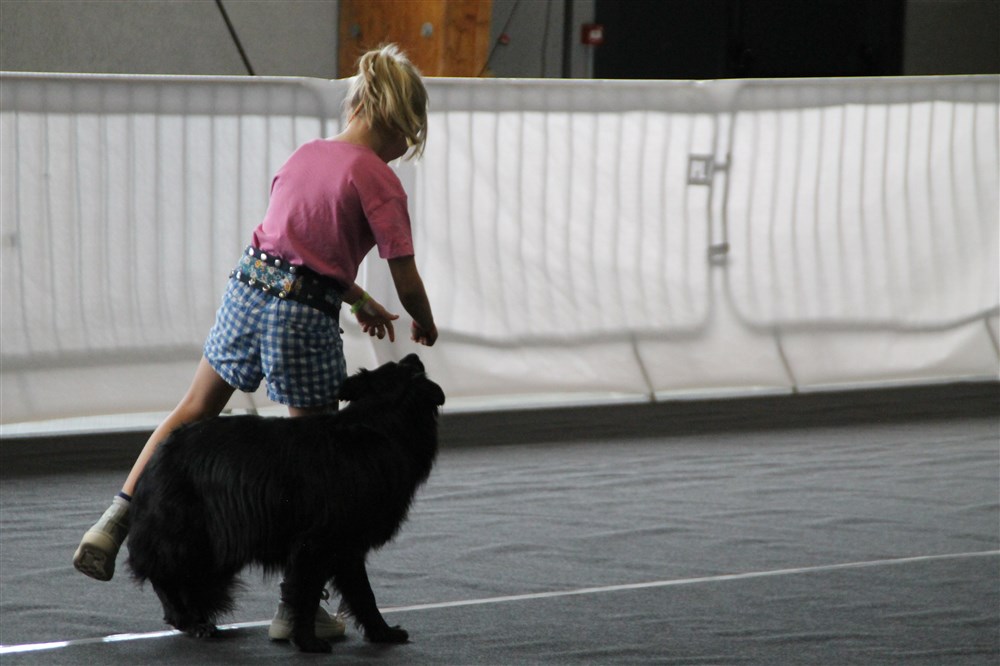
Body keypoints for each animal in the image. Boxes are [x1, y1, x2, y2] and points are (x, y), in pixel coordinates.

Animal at [126, 353, 445, 653]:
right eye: (411, 369)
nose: (415, 354)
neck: (377, 424)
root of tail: (160, 450)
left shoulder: (347, 545)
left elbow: (363, 594)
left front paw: (382, 633)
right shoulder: (315, 543)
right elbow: (306, 594)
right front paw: (307, 642)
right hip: (191, 533)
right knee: (162, 571)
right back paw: (189, 621)